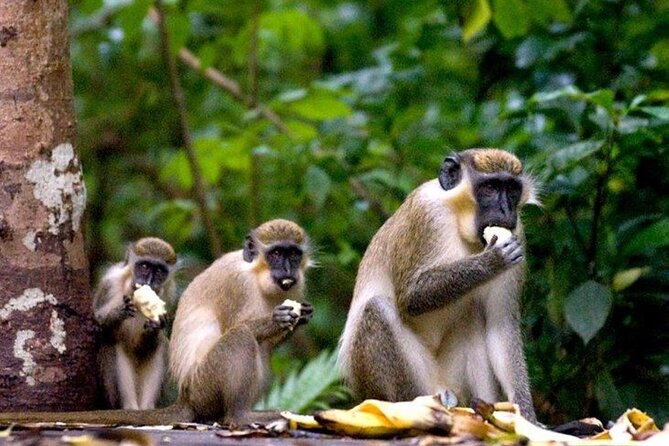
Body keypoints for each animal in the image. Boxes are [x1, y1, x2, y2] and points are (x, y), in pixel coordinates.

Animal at [94, 239, 179, 410]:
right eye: (144, 266)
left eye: (159, 271)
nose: (149, 282)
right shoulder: (109, 283)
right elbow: (95, 324)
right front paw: (118, 312)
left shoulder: (170, 295)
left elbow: (147, 344)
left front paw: (154, 328)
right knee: (114, 342)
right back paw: (129, 406)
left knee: (161, 344)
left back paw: (147, 407)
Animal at [340, 147, 536, 422]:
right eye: (489, 187)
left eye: (511, 190)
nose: (506, 210)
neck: (458, 219)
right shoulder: (426, 214)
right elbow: (410, 297)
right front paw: (492, 261)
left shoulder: (518, 233)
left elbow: (500, 325)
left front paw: (527, 417)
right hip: (408, 381)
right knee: (376, 309)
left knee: (473, 313)